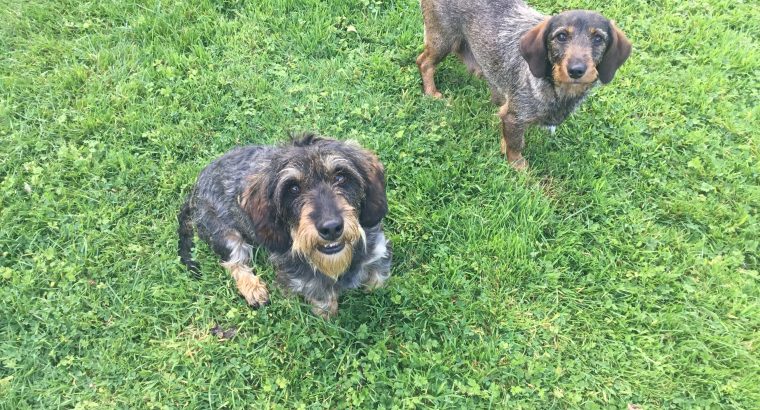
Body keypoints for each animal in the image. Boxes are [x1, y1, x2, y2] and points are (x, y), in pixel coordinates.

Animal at [178, 133, 392, 318]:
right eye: (293, 188)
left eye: (341, 177)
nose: (331, 228)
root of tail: (194, 191)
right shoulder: (303, 280)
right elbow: (323, 299)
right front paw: (327, 314)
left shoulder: (378, 250)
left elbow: (378, 278)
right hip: (224, 234)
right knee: (234, 262)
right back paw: (254, 289)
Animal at [418, 0, 632, 169]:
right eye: (561, 36)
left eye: (598, 38)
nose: (576, 70)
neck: (555, 89)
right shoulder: (514, 117)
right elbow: (516, 145)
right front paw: (519, 168)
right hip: (442, 39)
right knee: (424, 63)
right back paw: (431, 92)